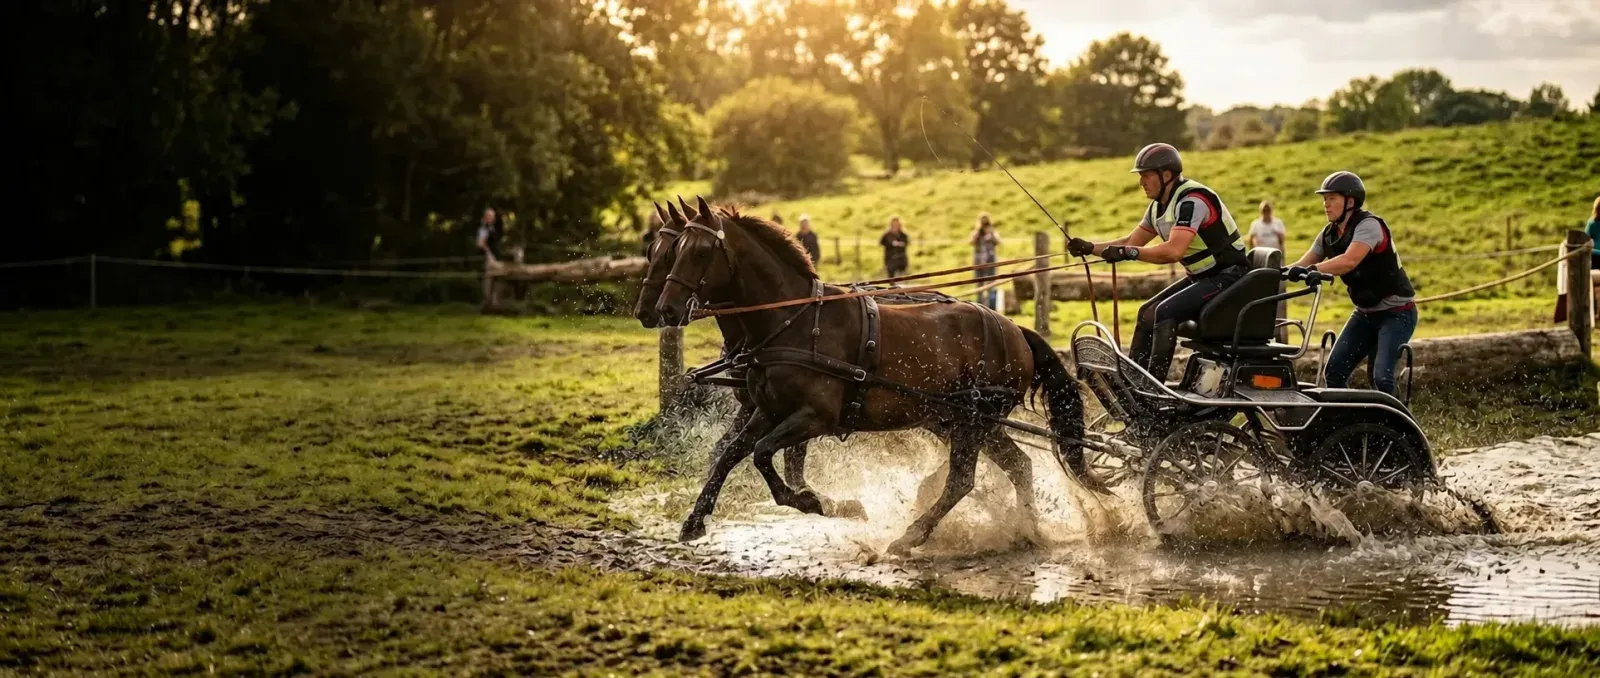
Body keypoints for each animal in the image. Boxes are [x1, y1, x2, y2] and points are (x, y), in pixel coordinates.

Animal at [649, 196, 1095, 554]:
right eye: (669, 250)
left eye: (700, 251)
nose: (663, 309)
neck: (794, 321)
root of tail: (1015, 329)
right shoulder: (767, 410)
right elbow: (730, 454)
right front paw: (694, 521)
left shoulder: (815, 417)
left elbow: (763, 454)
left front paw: (813, 502)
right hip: (967, 420)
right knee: (1019, 466)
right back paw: (1027, 528)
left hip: (971, 421)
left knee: (962, 480)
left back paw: (912, 534)